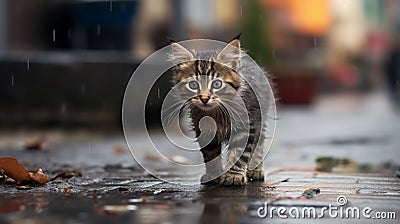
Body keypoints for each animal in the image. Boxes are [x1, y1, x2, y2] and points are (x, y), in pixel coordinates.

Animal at [170, 34, 270, 186]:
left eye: (217, 84)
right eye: (193, 85)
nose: (204, 98)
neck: (215, 113)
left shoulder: (247, 127)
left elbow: (239, 154)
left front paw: (233, 176)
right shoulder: (204, 130)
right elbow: (210, 154)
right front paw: (214, 174)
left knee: (259, 143)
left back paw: (255, 170)